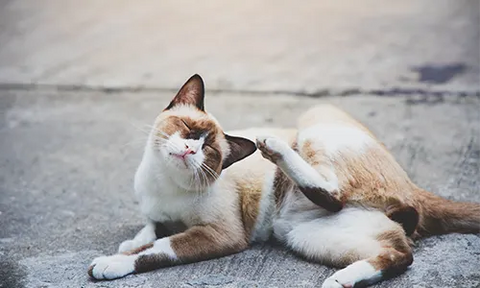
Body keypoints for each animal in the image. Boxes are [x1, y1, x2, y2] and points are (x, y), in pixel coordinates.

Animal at [87, 75, 480, 288]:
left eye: (209, 149)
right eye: (188, 128)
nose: (188, 149)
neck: (164, 184)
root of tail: (413, 187)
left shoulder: (221, 234)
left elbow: (158, 248)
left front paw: (110, 263)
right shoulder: (157, 213)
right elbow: (150, 230)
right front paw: (128, 244)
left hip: (314, 120)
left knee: (335, 194)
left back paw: (272, 146)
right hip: (305, 235)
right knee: (399, 253)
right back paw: (341, 280)